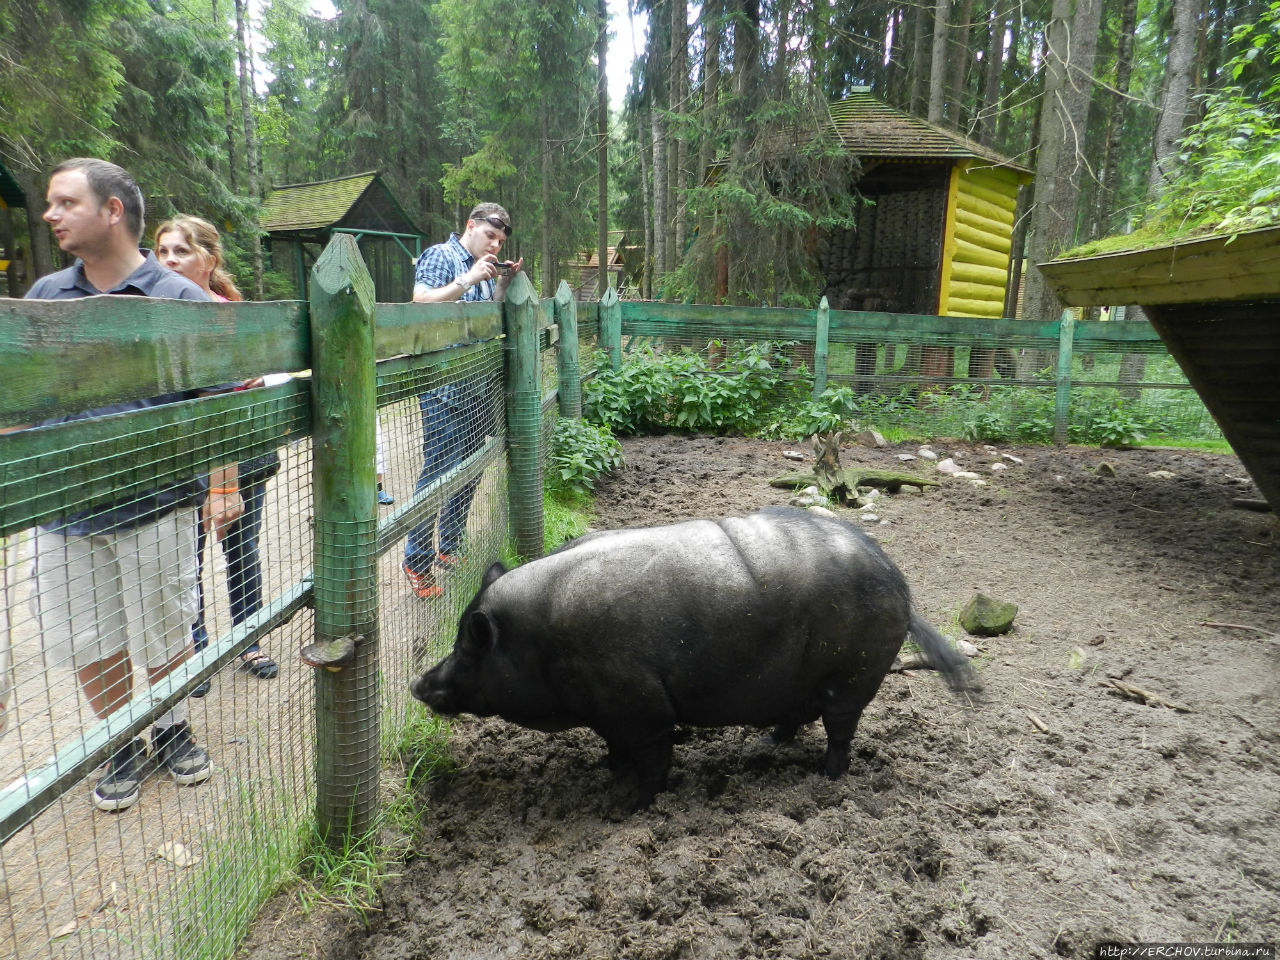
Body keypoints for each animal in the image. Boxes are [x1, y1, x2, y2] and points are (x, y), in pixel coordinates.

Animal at [414, 506, 972, 808]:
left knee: (839, 730)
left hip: (853, 674)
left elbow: (654, 762)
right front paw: (608, 772)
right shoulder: (611, 715)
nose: (418, 684)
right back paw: (765, 743)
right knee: (795, 715)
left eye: (469, 647)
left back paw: (826, 780)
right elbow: (615, 749)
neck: (540, 641)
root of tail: (900, 584)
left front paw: (634, 808)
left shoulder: (643, 708)